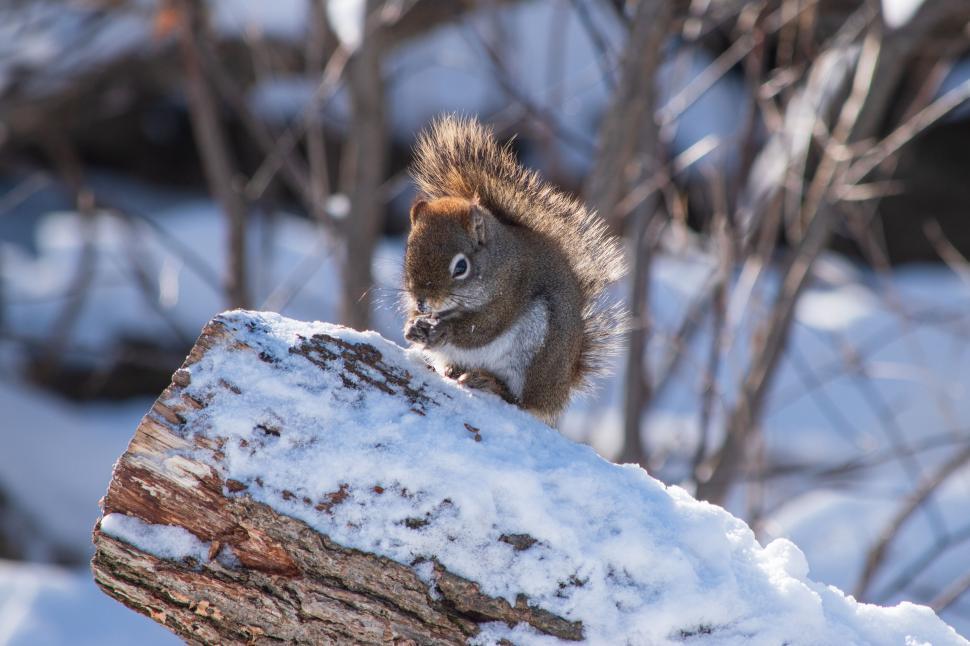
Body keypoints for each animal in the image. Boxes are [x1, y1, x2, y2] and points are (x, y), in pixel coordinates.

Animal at [402, 116, 626, 424]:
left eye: (461, 267)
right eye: (408, 251)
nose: (423, 302)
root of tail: (559, 391)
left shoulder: (512, 290)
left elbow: (483, 328)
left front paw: (444, 330)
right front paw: (414, 325)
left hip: (536, 355)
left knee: (520, 401)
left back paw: (491, 383)